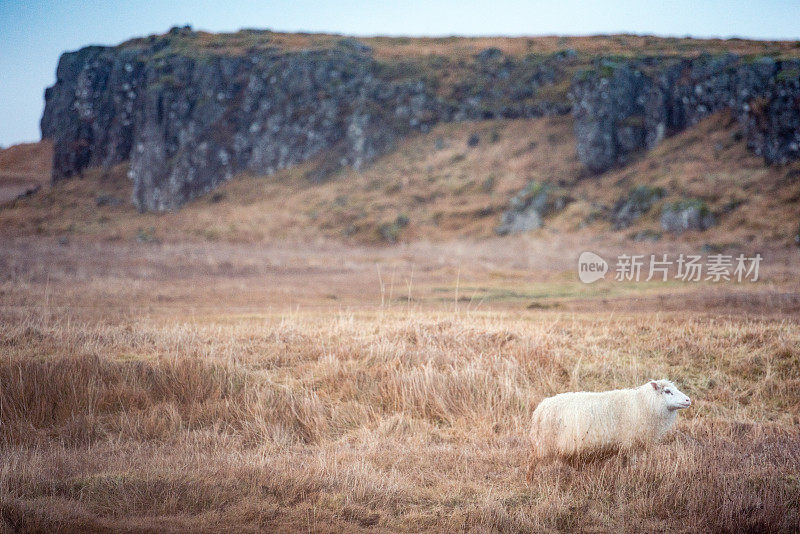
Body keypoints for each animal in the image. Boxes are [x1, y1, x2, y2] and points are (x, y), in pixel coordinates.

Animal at [528, 382, 692, 478]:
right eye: (668, 391)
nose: (688, 400)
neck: (643, 403)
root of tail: (540, 409)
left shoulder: (626, 446)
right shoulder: (630, 444)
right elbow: (630, 465)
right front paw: (630, 478)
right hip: (543, 444)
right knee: (532, 464)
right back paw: (530, 481)